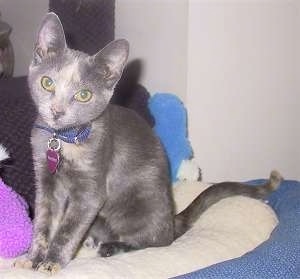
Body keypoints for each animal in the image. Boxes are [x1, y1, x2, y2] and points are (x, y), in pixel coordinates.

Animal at [13, 13, 282, 276]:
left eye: (84, 95)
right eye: (47, 83)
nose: (57, 111)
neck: (63, 140)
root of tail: (172, 218)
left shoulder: (91, 189)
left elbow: (69, 229)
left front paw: (51, 262)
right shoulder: (45, 181)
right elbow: (44, 221)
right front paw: (32, 258)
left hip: (138, 205)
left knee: (157, 239)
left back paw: (112, 246)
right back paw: (91, 240)